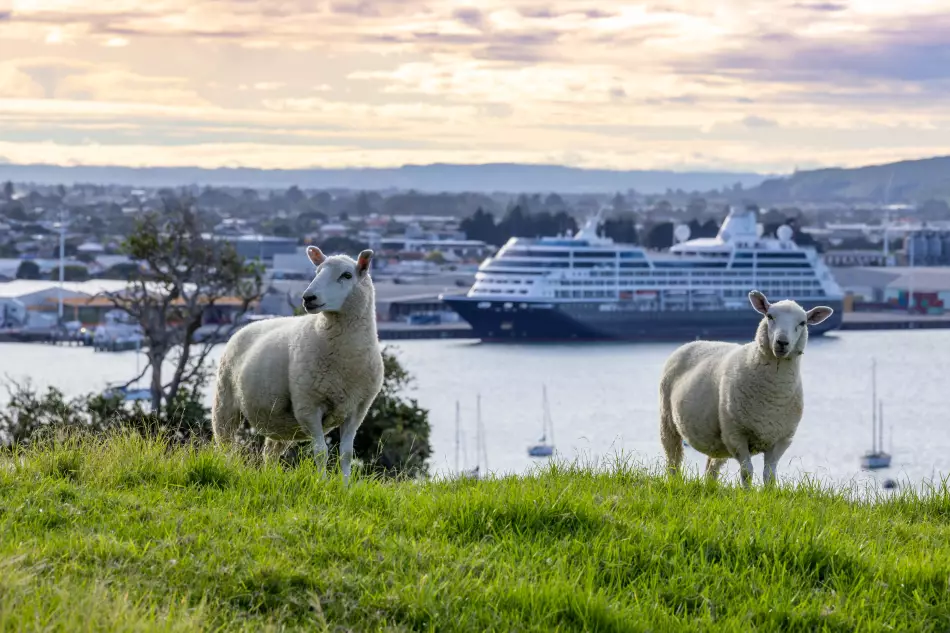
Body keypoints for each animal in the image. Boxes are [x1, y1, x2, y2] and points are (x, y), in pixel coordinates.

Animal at [211, 247, 384, 484]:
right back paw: (227, 469)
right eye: (317, 271)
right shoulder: (308, 406)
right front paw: (322, 484)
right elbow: (321, 452)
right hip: (225, 401)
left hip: (280, 422)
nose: (308, 297)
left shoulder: (356, 409)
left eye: (347, 275)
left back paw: (270, 478)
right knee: (225, 444)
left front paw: (345, 486)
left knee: (270, 452)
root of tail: (250, 325)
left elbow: (347, 454)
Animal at [660, 288, 832, 486]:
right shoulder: (737, 435)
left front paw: (768, 492)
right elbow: (747, 472)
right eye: (769, 316)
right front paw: (747, 492)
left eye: (802, 323)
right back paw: (674, 482)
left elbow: (770, 476)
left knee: (712, 467)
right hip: (668, 421)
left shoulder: (780, 439)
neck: (773, 395)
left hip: (719, 441)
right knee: (673, 459)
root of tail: (695, 341)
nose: (782, 342)